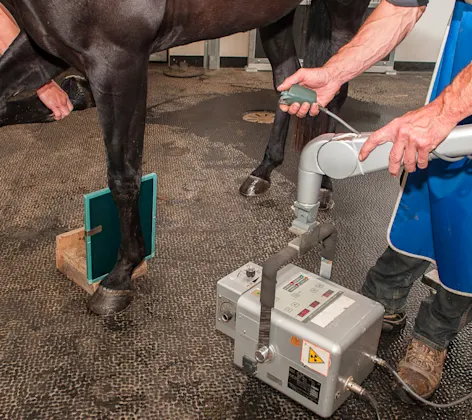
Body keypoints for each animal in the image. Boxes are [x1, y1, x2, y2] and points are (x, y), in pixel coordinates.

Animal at [0, 0, 368, 316]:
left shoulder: (118, 60)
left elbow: (123, 175)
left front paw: (121, 274)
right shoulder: (45, 43)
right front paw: (73, 95)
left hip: (345, 12)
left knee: (337, 87)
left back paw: (326, 184)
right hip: (275, 17)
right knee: (287, 79)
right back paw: (263, 169)